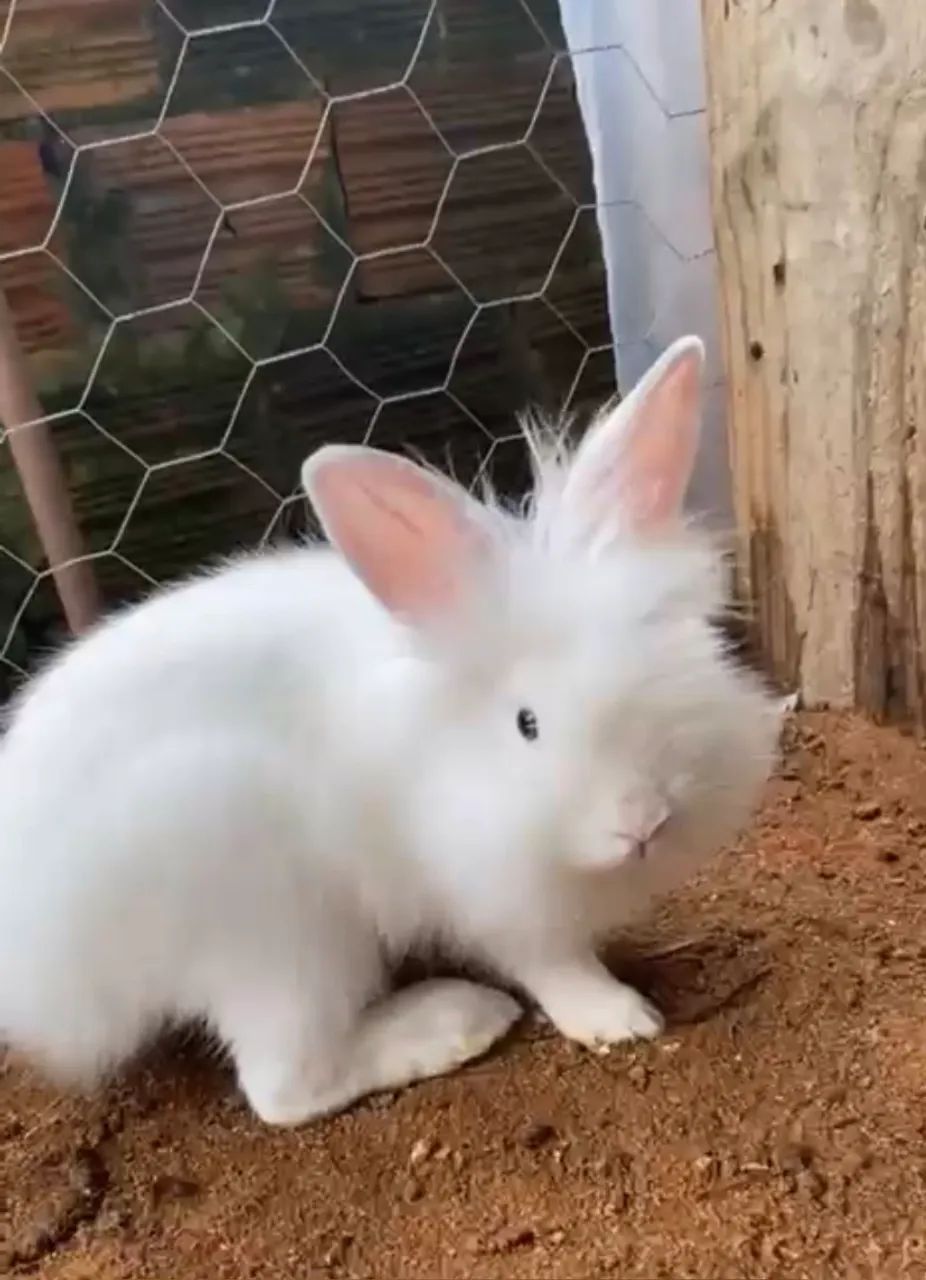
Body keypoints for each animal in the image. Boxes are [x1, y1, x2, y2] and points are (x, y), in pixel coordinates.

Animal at [0, 335, 782, 1127]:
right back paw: (455, 1022)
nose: (642, 820)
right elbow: (548, 958)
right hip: (276, 932)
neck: (448, 741)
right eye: (527, 724)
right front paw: (619, 1017)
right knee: (286, 1087)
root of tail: (36, 980)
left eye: (683, 665)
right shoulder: (483, 885)